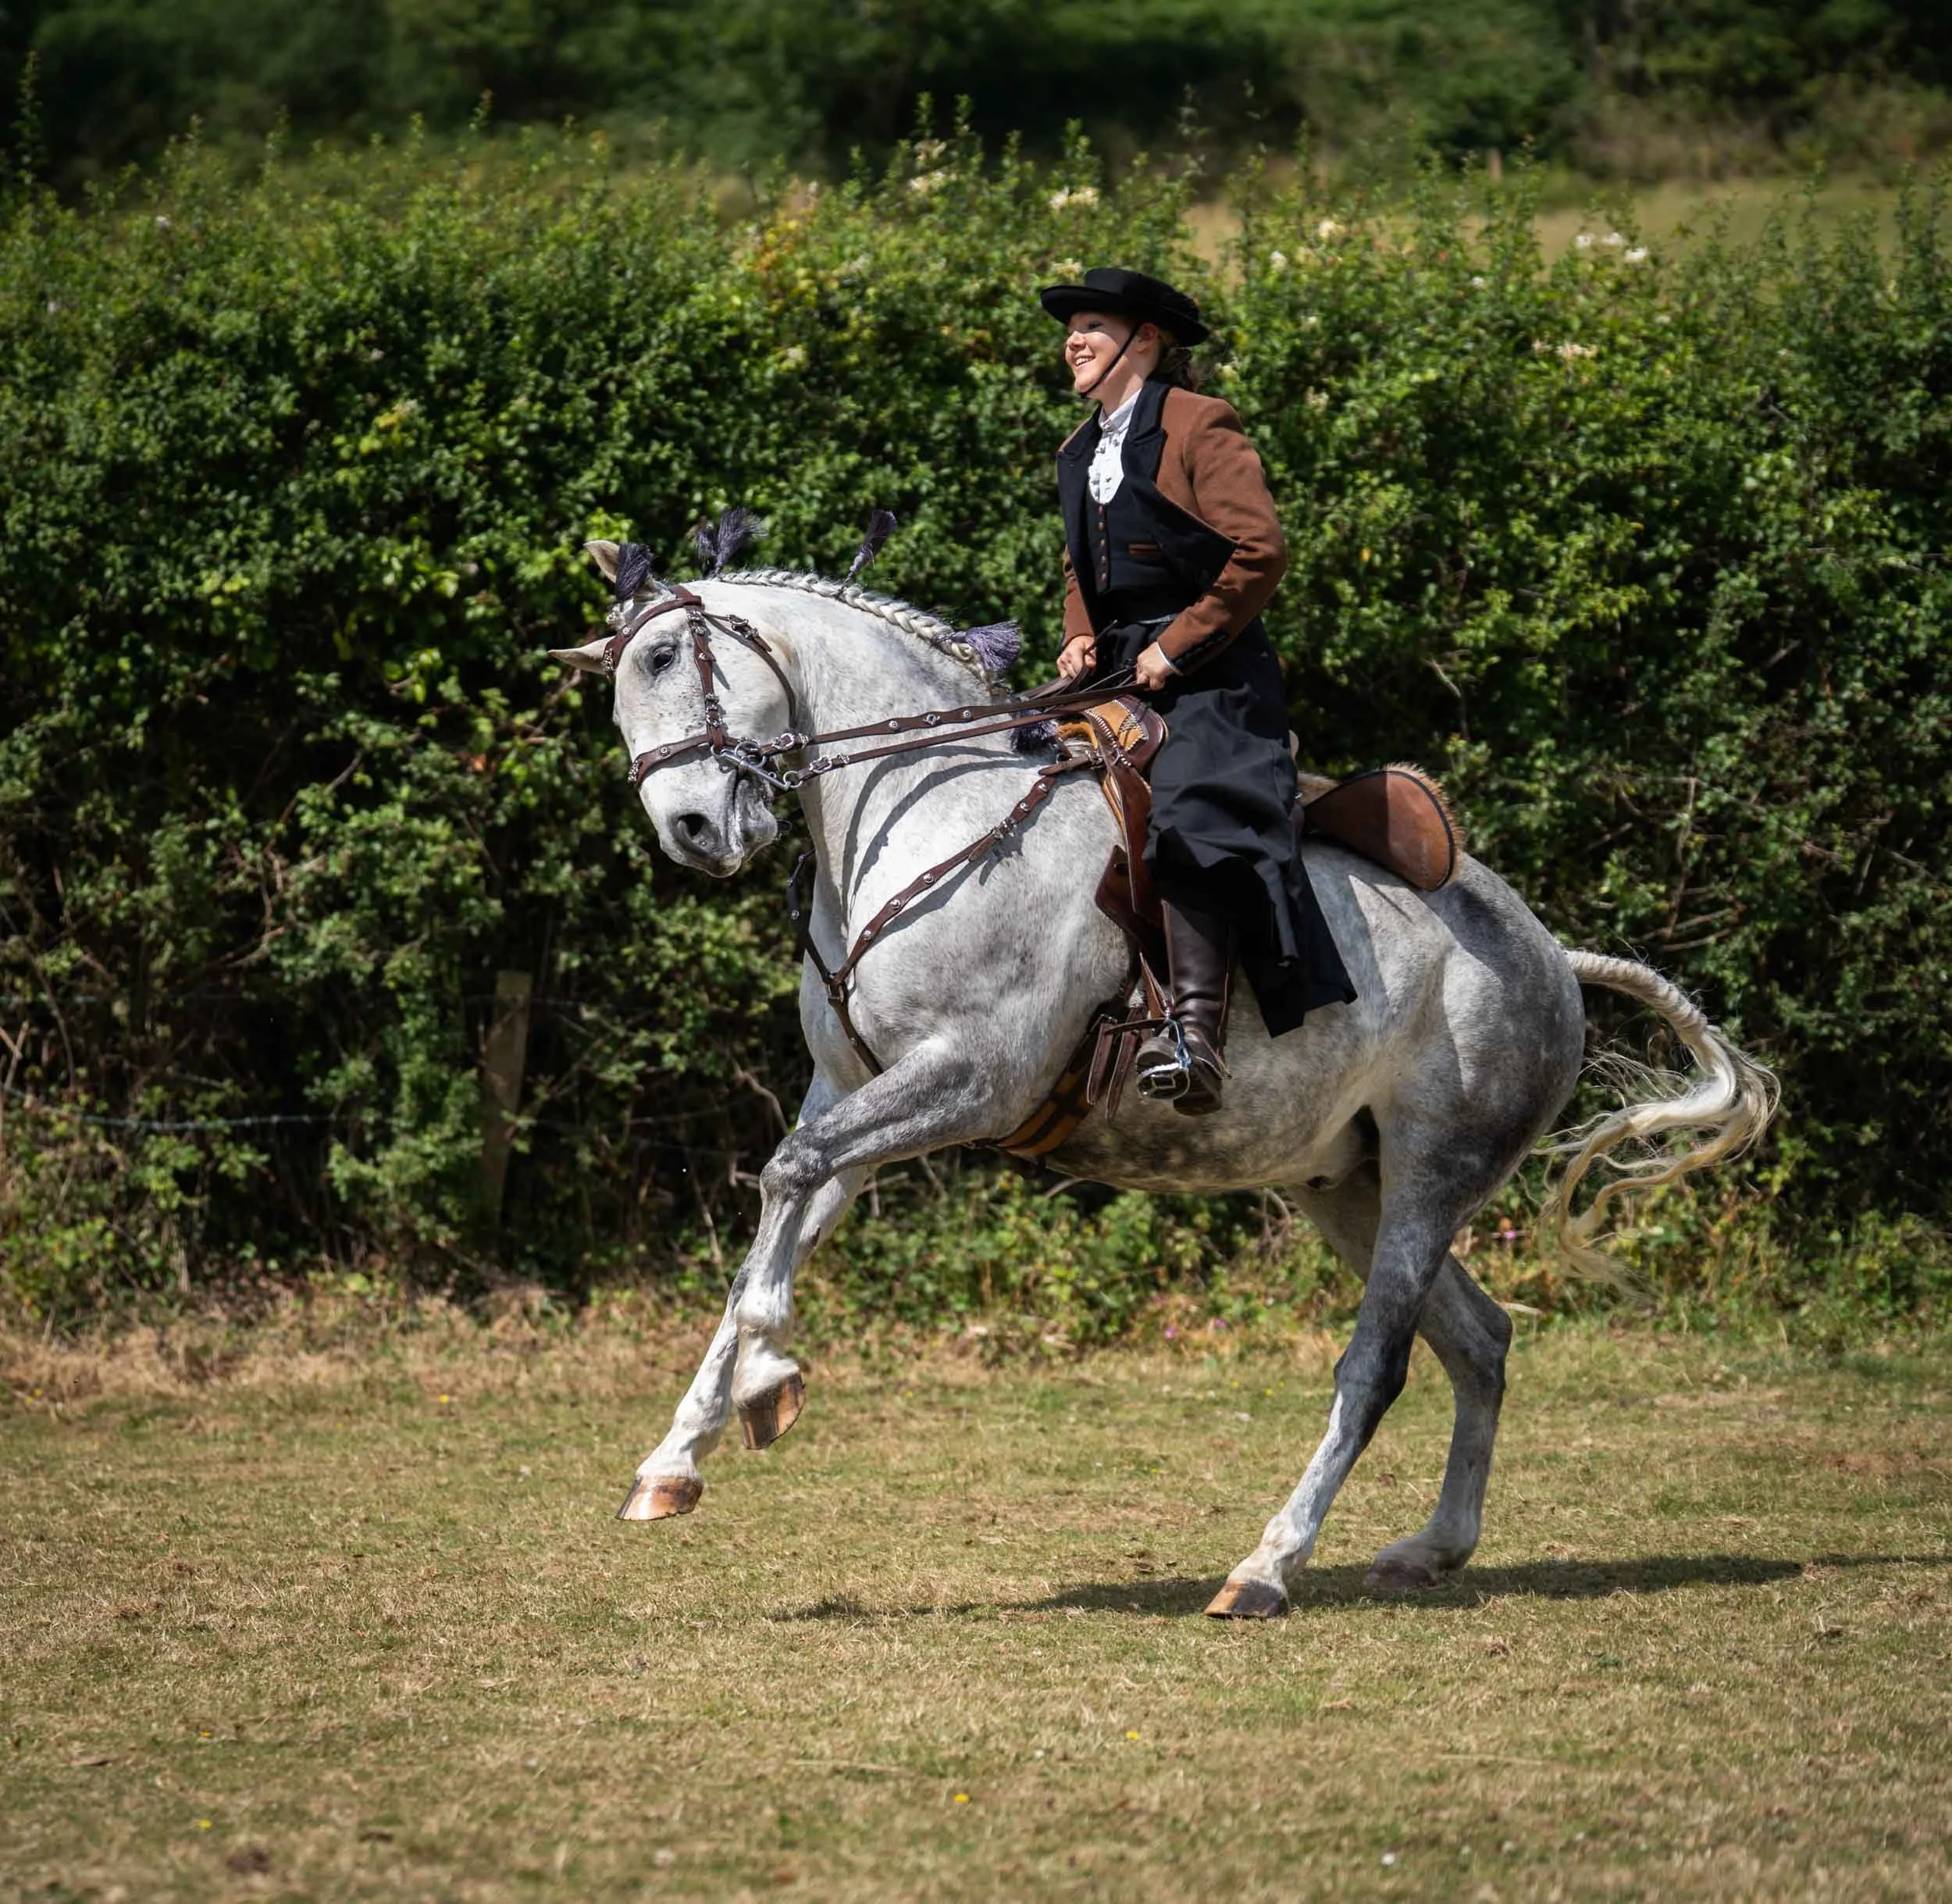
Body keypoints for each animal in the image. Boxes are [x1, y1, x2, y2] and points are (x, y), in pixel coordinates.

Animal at [551, 548, 1777, 1618]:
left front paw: (769, 1381)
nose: (691, 829)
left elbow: (786, 1187)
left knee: (1378, 1363)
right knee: (1479, 1341)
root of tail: (1551, 957)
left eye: (661, 659)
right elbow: (779, 1205)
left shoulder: (967, 1080)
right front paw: (677, 1456)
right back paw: (1431, 1547)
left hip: (1435, 1171)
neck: (926, 813)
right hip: (1349, 1185)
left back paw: (1267, 1567)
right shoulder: (855, 1087)